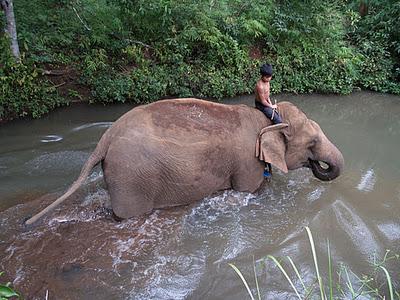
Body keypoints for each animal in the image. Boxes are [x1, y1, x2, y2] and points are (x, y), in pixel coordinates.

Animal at [25, 97, 344, 224]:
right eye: (312, 143)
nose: (320, 165)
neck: (266, 119)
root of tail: (106, 137)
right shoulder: (246, 165)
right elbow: (249, 192)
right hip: (132, 177)